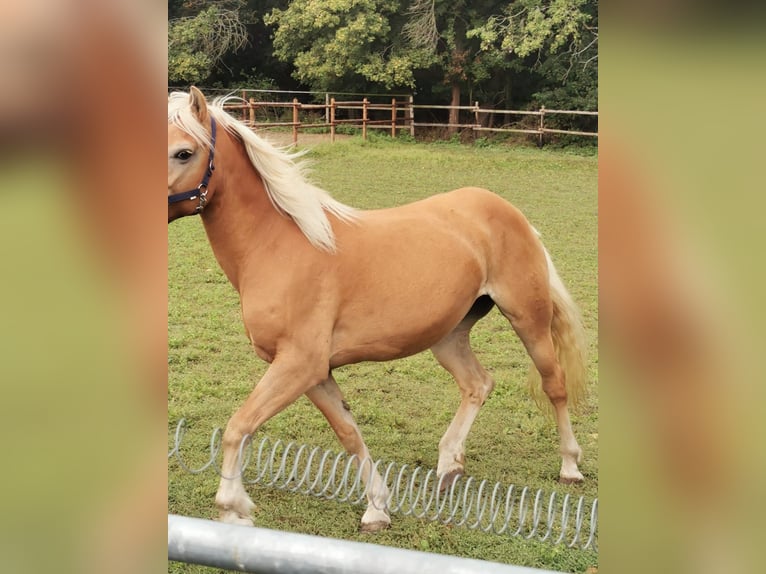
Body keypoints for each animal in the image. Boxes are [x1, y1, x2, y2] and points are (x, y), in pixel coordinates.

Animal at [168, 88, 592, 532]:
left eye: (184, 152)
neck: (279, 246)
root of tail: (511, 213)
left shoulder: (299, 365)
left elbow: (238, 426)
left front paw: (233, 508)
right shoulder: (315, 373)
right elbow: (348, 433)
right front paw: (377, 507)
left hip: (529, 320)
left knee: (555, 384)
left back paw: (570, 466)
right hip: (448, 336)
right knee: (478, 384)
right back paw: (449, 465)